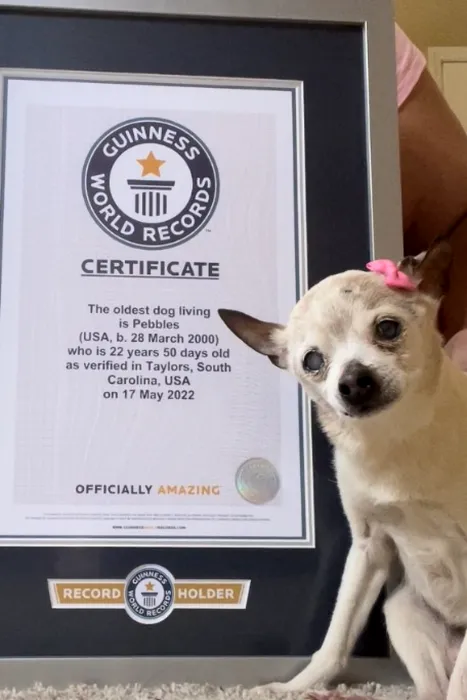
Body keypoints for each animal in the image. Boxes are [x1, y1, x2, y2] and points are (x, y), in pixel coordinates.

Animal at [218, 240, 467, 700]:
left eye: (388, 329)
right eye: (312, 361)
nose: (351, 382)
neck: (394, 437)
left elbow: (463, 677)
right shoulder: (368, 548)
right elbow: (337, 636)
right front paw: (295, 687)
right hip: (401, 611)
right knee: (432, 689)